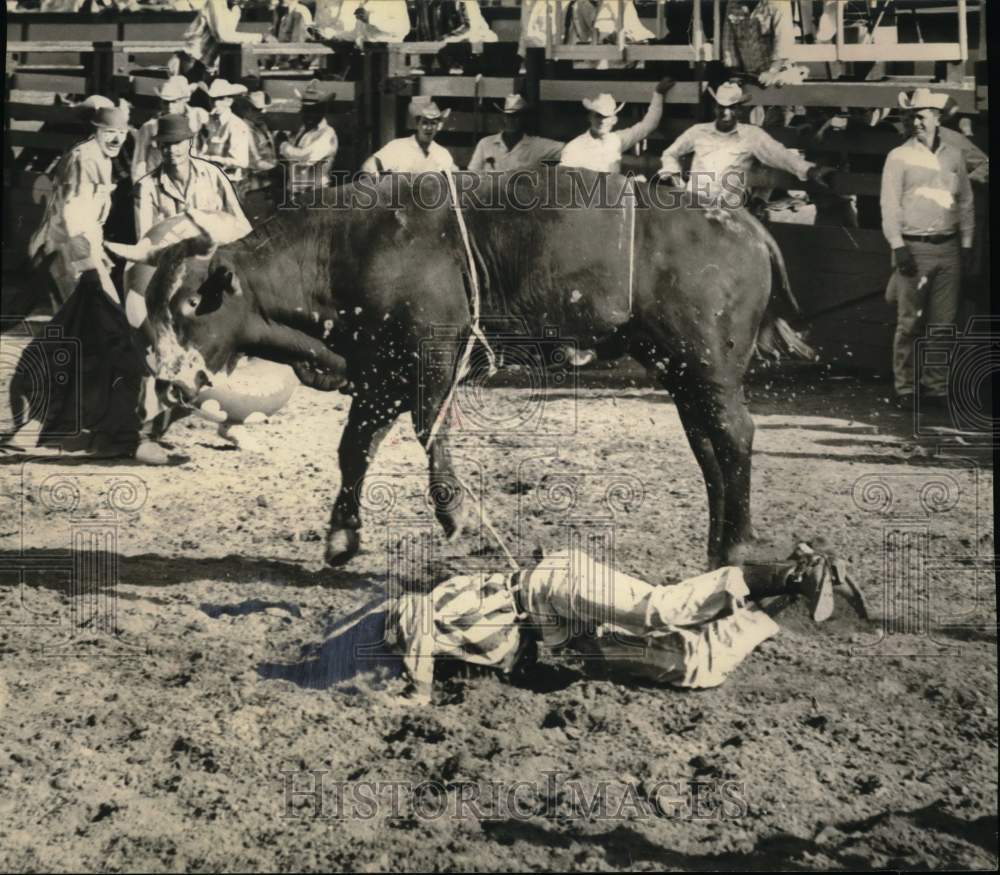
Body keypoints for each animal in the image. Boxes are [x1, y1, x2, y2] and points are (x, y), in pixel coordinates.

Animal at [109, 169, 812, 568]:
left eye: (192, 303)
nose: (167, 380)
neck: (350, 246)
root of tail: (746, 223)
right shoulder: (380, 374)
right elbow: (354, 448)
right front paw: (342, 537)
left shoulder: (431, 359)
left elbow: (429, 432)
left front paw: (457, 515)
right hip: (684, 370)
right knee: (707, 443)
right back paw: (719, 547)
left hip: (708, 366)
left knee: (734, 435)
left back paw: (738, 545)